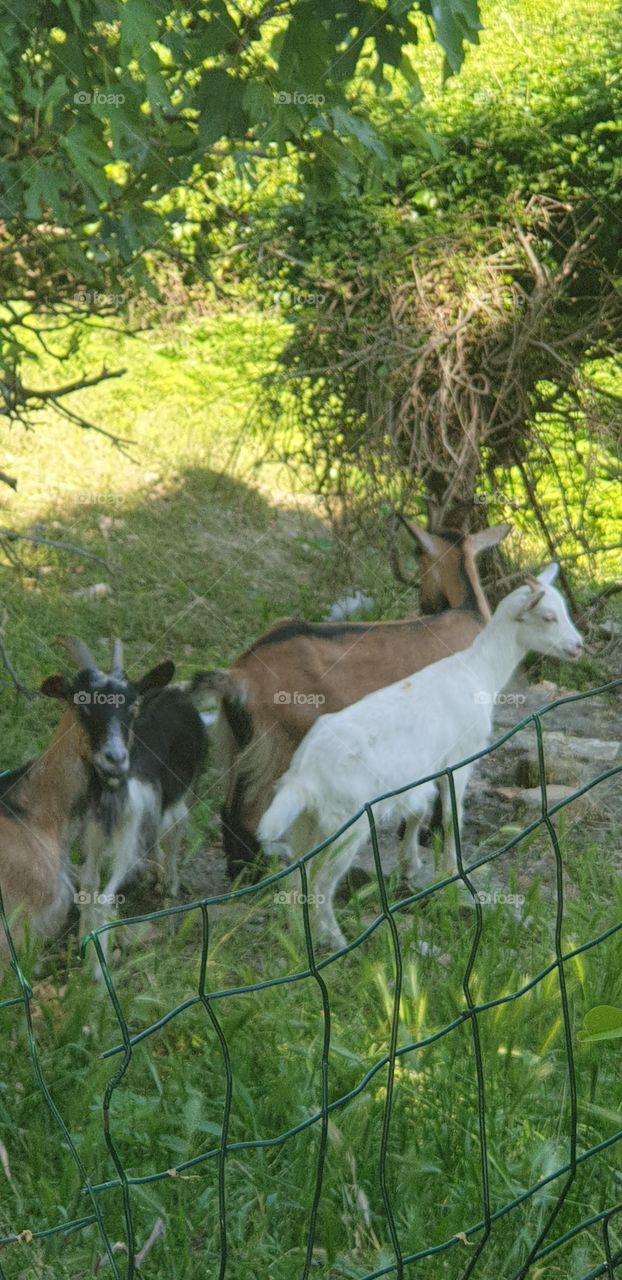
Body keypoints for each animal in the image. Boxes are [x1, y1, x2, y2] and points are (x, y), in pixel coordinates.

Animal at [199, 519, 511, 875]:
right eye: (418, 555)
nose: (424, 604)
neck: (469, 613)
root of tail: (240, 674)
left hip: (239, 745)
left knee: (229, 811)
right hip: (278, 746)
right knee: (250, 817)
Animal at [257, 565, 583, 949]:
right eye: (548, 617)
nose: (579, 646)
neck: (479, 672)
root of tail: (304, 776)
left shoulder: (424, 769)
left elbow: (419, 809)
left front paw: (410, 865)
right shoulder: (460, 758)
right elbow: (452, 814)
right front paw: (452, 872)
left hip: (305, 824)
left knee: (297, 879)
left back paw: (297, 938)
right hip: (346, 824)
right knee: (322, 884)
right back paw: (339, 942)